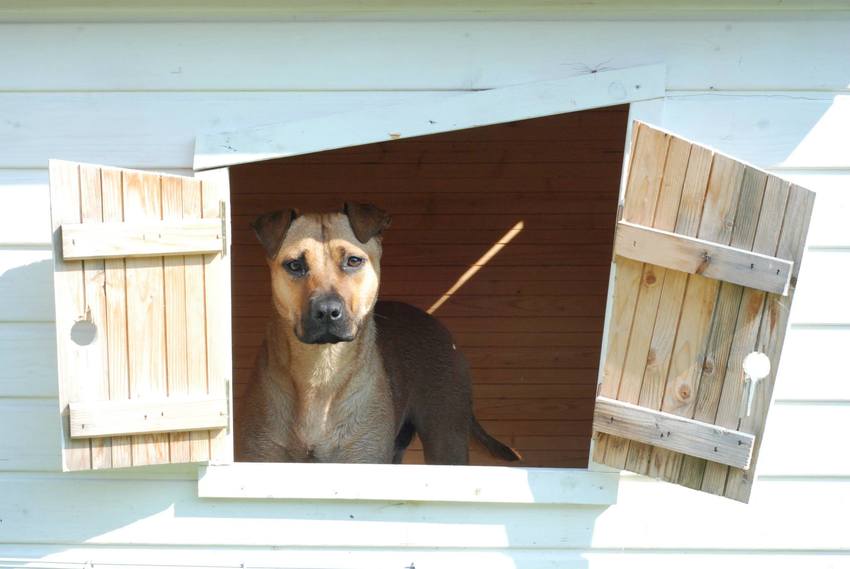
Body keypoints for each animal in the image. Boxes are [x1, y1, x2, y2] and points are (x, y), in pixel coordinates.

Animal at [235, 202, 521, 465]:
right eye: (295, 265)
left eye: (353, 261)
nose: (327, 311)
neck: (321, 371)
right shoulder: (262, 456)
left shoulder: (364, 458)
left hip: (446, 437)